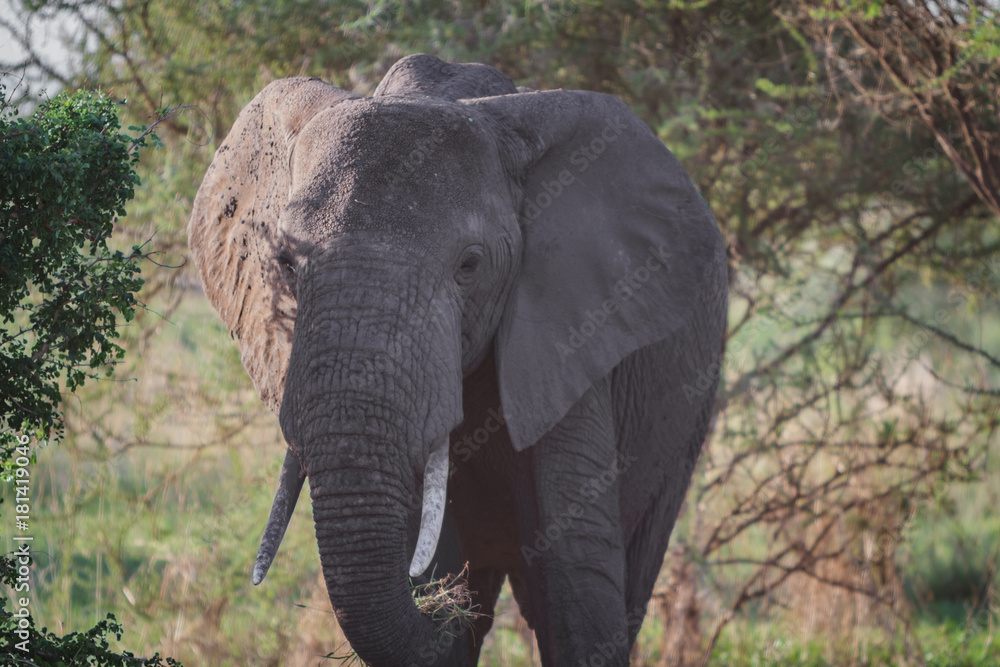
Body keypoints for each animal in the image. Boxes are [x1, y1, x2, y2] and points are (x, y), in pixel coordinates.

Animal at [188, 54, 727, 666]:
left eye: (470, 265)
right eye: (285, 263)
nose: (440, 604)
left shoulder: (570, 327)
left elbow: (577, 578)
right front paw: (441, 593)